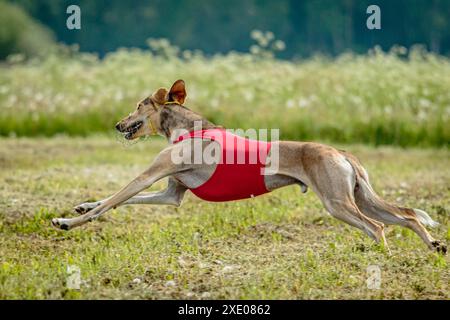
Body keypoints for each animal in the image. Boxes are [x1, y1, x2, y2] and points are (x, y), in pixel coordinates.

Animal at [51, 79, 446, 254]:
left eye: (138, 105)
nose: (118, 125)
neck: (187, 127)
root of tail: (342, 152)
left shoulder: (148, 175)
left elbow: (112, 201)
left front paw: (68, 221)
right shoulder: (170, 193)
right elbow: (119, 201)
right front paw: (81, 205)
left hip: (338, 202)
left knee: (378, 228)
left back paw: (379, 256)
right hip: (359, 197)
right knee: (407, 216)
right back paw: (434, 245)